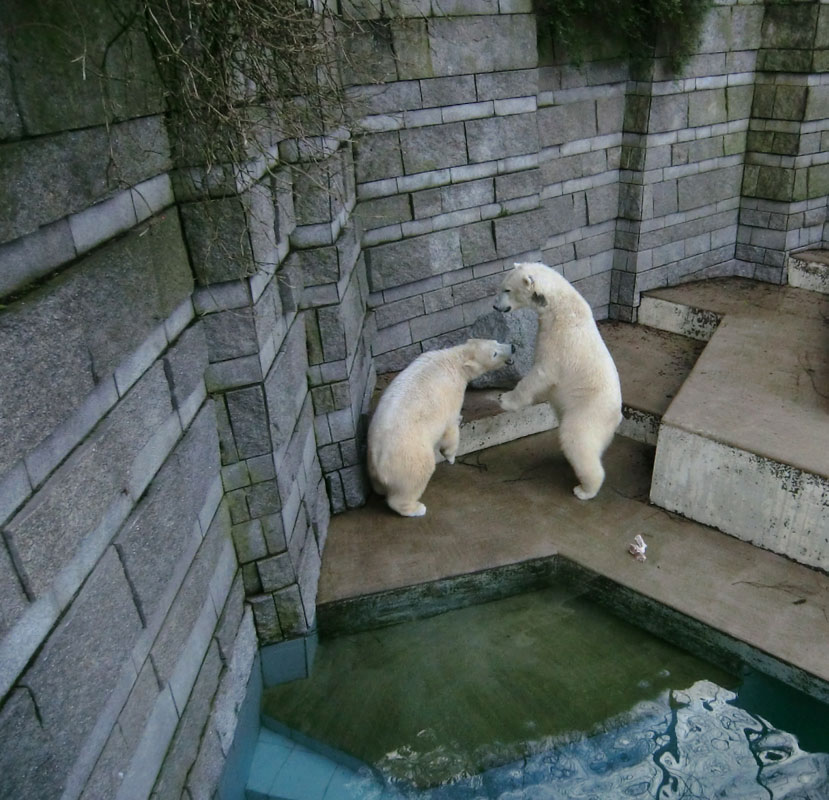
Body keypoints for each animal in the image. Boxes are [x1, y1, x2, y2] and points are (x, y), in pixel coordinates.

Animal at [368, 340, 512, 520]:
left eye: (497, 341)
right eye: (494, 353)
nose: (513, 347)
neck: (455, 359)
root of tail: (379, 466)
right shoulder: (452, 392)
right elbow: (450, 428)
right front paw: (450, 456)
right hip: (409, 458)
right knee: (415, 478)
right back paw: (417, 508)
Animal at [492, 262, 620, 500]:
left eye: (507, 289)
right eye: (501, 286)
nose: (496, 306)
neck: (562, 308)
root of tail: (616, 416)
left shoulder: (560, 343)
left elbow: (541, 374)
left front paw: (504, 399)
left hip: (588, 411)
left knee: (576, 439)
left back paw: (584, 489)